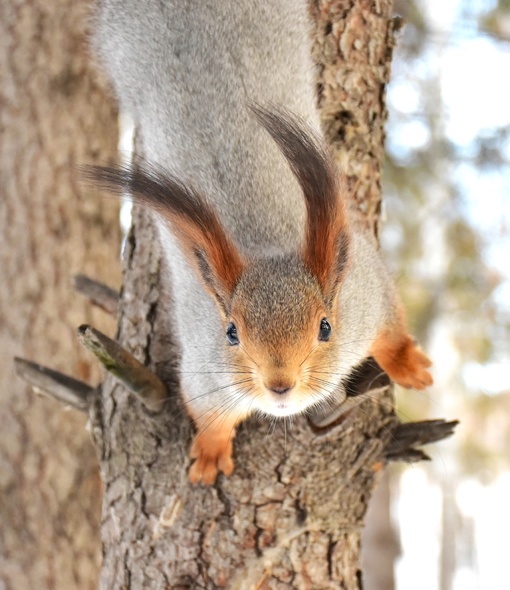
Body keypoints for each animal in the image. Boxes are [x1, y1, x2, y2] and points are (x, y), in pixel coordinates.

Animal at [89, 0, 432, 486]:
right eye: (231, 332)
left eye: (325, 327)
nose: (279, 385)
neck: (263, 249)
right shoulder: (206, 375)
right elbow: (209, 416)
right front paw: (210, 455)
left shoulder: (366, 296)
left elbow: (391, 331)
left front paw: (409, 364)